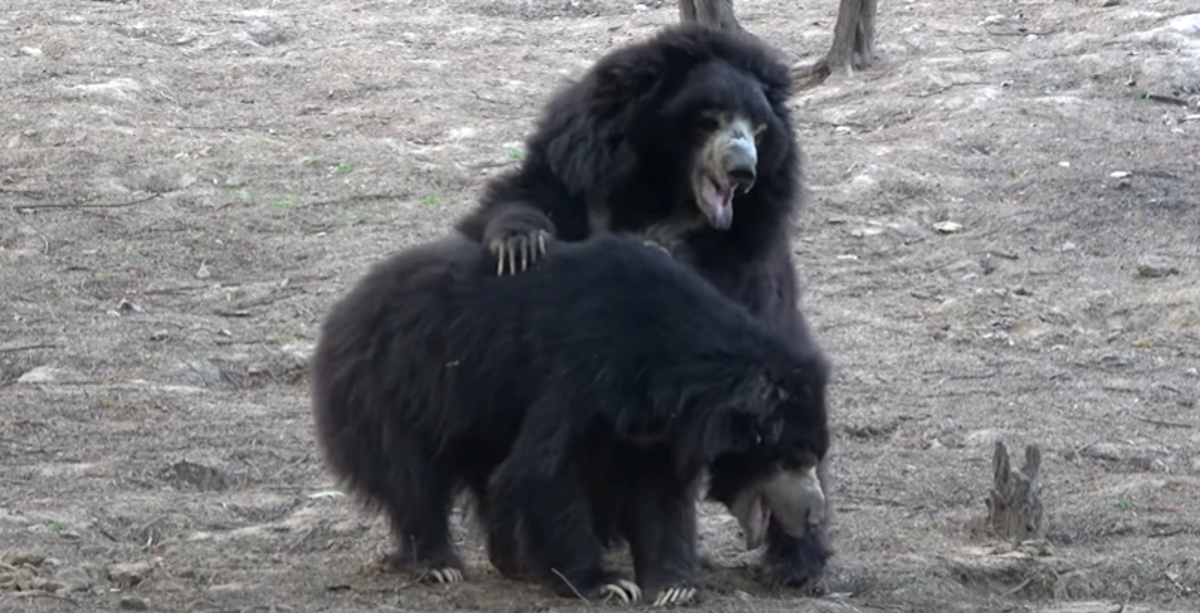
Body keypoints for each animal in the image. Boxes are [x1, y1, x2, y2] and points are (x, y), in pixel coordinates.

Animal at [312, 232, 835, 607]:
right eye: (790, 458)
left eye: (812, 456)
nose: (814, 511)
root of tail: (341, 312)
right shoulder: (585, 372)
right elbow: (545, 469)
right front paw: (606, 584)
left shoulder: (655, 429)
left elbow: (659, 493)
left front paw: (674, 586)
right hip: (395, 390)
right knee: (414, 478)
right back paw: (439, 564)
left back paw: (513, 560)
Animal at [451, 23, 835, 590]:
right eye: (710, 119)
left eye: (759, 128)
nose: (743, 171)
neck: (660, 194)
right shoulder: (575, 165)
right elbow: (523, 201)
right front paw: (519, 245)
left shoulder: (747, 255)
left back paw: (795, 561)